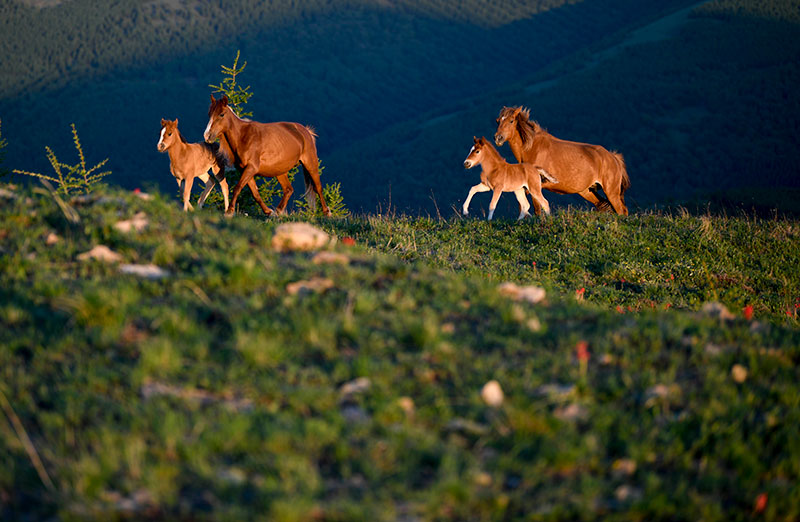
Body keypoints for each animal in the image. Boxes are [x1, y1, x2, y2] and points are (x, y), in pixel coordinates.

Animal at [206, 94, 334, 214]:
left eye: (221, 114)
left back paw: (327, 212)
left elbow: (238, 188)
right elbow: (255, 193)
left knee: (318, 187)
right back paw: (278, 212)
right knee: (288, 189)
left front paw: (229, 211)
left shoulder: (251, 168)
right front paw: (268, 212)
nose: (207, 135)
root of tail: (306, 131)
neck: (243, 137)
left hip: (310, 164)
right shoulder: (245, 170)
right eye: (209, 114)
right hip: (280, 171)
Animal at [494, 106, 632, 214]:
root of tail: (613, 157)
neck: (532, 148)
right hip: (587, 191)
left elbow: (537, 209)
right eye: (498, 121)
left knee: (621, 211)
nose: (498, 138)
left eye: (511, 121)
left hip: (611, 191)